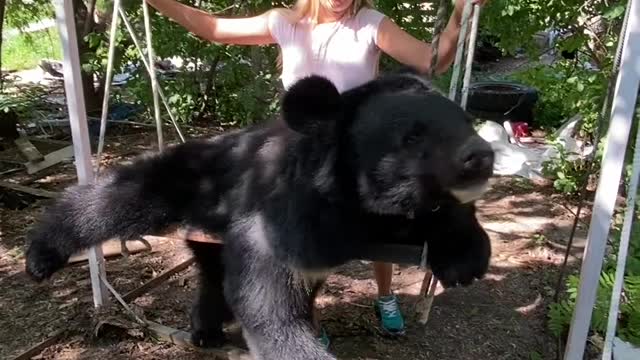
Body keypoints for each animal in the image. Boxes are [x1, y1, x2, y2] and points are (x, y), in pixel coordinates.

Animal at [23, 71, 496, 360]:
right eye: (412, 136)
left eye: (464, 120)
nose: (481, 155)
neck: (360, 207)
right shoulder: (281, 221)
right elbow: (269, 305)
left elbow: (449, 218)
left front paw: (464, 263)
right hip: (192, 180)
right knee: (118, 198)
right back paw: (41, 256)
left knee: (212, 275)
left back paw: (205, 329)